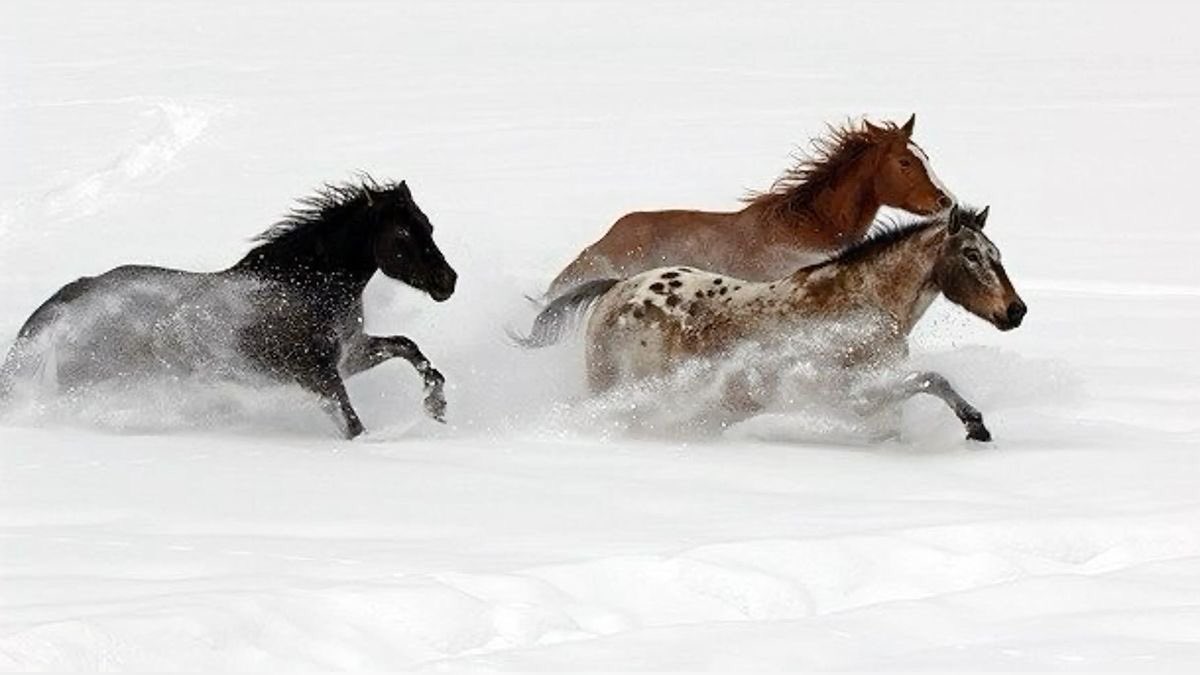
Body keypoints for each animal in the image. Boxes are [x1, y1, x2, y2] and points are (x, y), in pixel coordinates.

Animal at [0, 178, 457, 439]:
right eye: (402, 236)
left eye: (429, 226)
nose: (447, 282)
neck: (303, 286)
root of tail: (69, 302)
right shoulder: (318, 374)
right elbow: (352, 424)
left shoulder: (350, 354)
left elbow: (409, 348)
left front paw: (436, 408)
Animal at [516, 206, 1025, 442]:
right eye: (972, 254)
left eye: (997, 254)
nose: (1015, 311)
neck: (863, 300)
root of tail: (620, 287)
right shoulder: (853, 391)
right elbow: (931, 379)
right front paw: (975, 424)